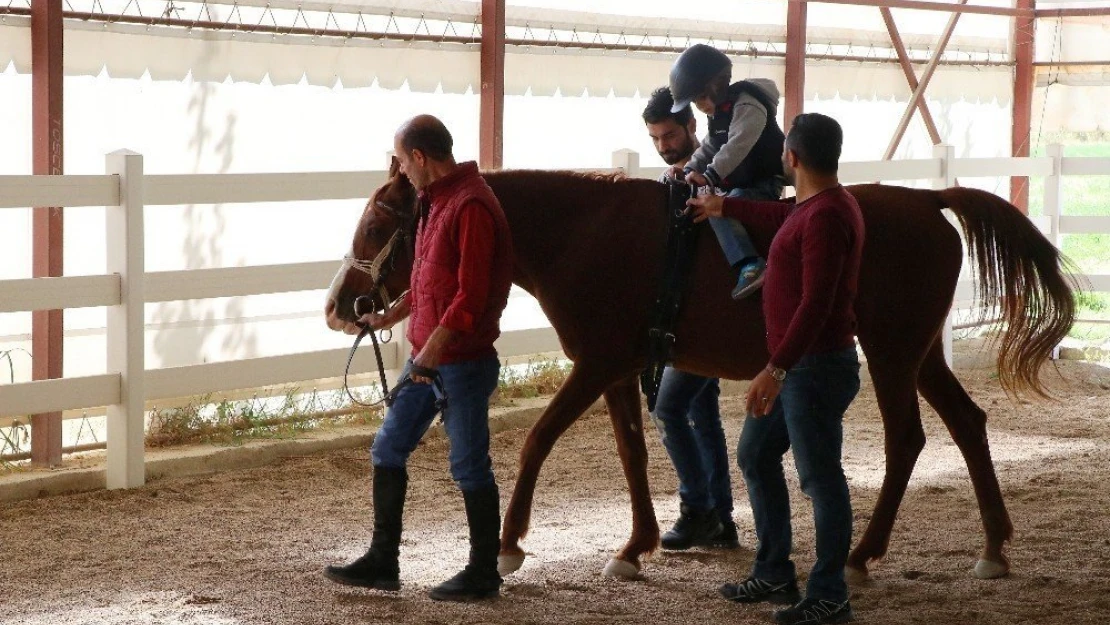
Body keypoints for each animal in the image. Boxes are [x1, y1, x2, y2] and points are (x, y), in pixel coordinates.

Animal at [324, 160, 1074, 581]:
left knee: (908, 441)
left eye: (378, 224)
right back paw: (994, 547)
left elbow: (538, 440)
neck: (582, 230)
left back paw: (863, 554)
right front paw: (635, 546)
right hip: (920, 354)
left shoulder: (596, 362)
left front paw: (509, 545)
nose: (339, 305)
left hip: (892, 353)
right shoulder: (618, 369)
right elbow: (631, 452)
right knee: (969, 424)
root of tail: (927, 200)